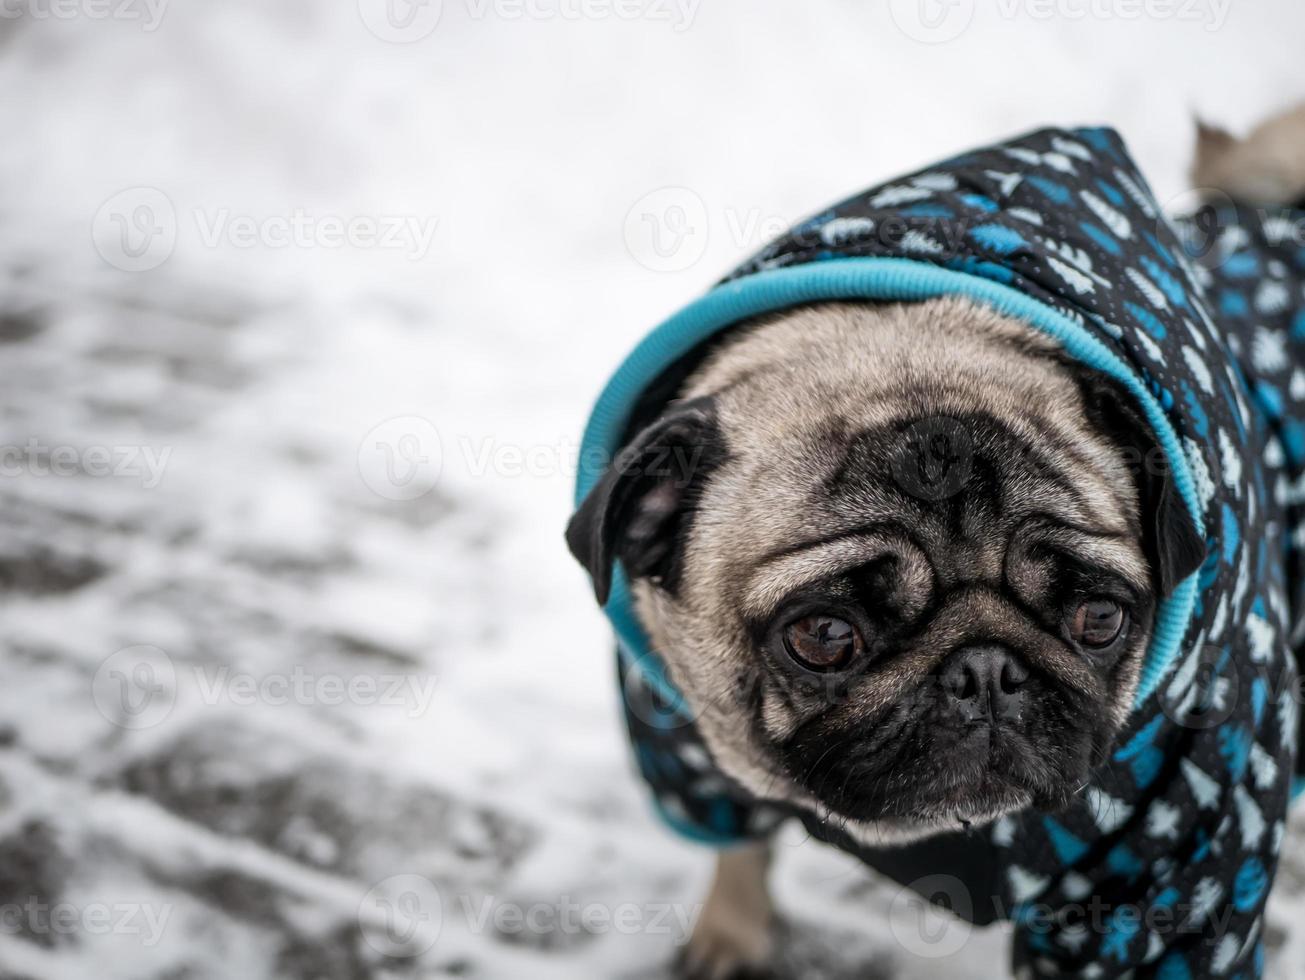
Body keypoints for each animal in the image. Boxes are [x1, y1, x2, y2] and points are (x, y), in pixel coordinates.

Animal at [568, 107, 1305, 980]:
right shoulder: (685, 746)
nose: (984, 672)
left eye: (1098, 619)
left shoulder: (1176, 846)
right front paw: (733, 933)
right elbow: (740, 843)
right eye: (823, 636)